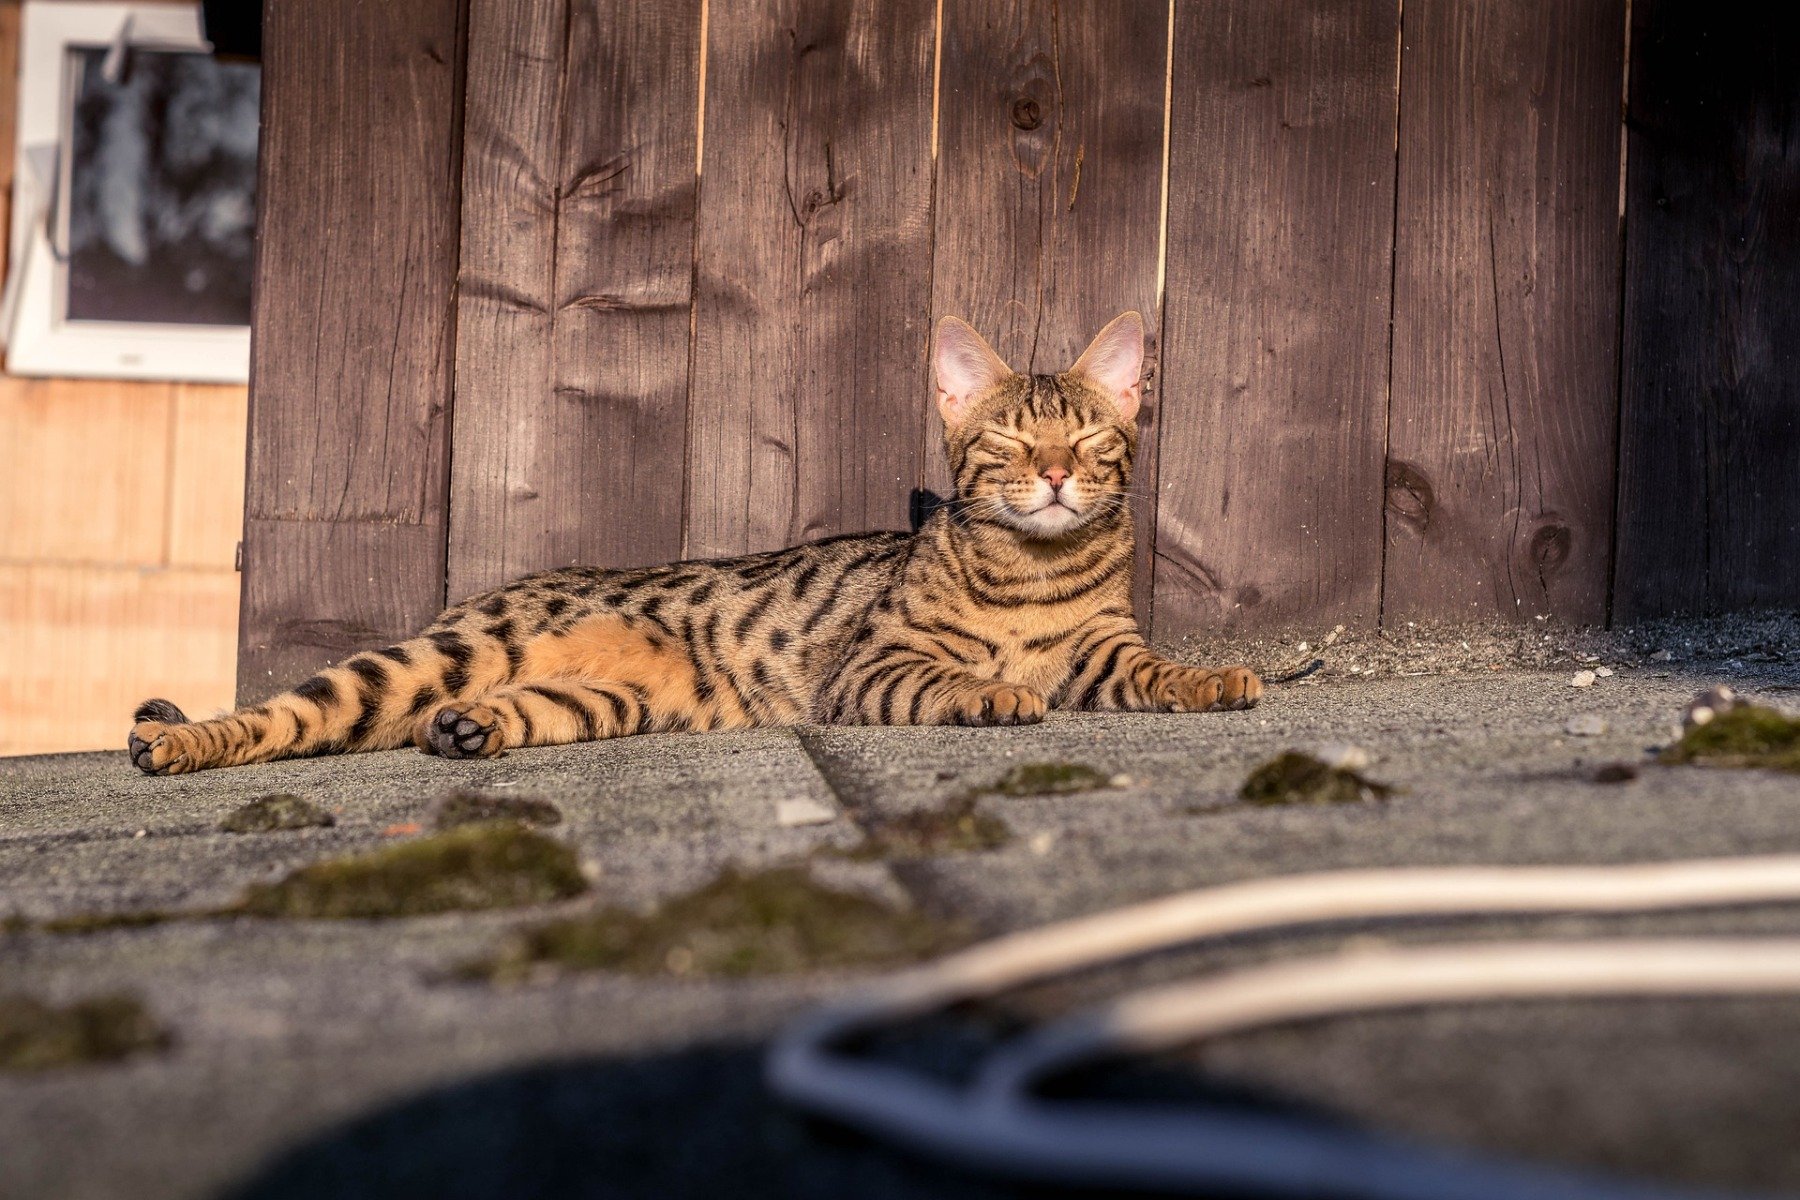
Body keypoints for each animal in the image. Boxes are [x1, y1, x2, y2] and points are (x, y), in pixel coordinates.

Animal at [126, 313, 1260, 780]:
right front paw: (995, 693)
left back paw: (463, 732)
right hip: (432, 656)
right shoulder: (875, 666)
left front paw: (1219, 680)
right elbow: (953, 680)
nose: (1059, 475)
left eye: (1092, 438)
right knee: (287, 714)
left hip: (601, 700)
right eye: (1012, 444)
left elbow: (1158, 670)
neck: (1035, 571)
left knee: (459, 717)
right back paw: (173, 743)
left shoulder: (1106, 652)